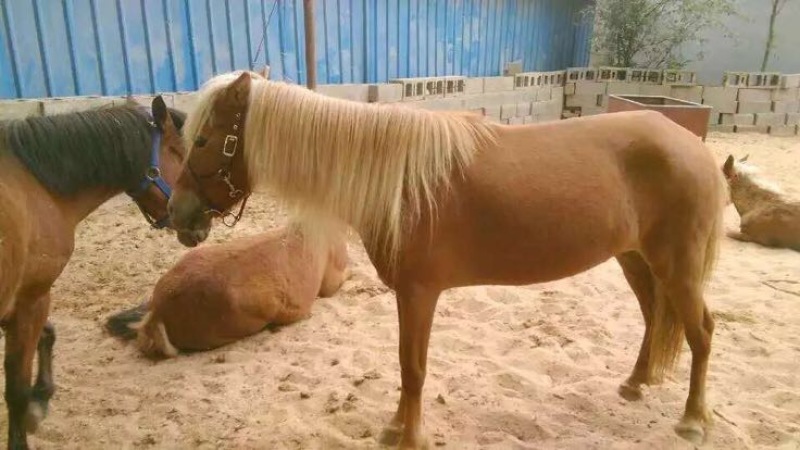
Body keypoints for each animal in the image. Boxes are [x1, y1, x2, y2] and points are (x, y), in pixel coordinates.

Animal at [0, 95, 186, 449]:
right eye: (181, 155)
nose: (201, 221)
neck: (39, 187)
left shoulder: (21, 300)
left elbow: (47, 334)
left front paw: (41, 397)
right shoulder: (31, 296)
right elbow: (15, 390)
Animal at [166, 71, 727, 449]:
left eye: (204, 139)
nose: (176, 215)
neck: (397, 181)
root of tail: (692, 145)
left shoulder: (420, 293)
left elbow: (413, 368)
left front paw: (409, 435)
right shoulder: (409, 295)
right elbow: (404, 364)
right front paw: (396, 427)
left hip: (677, 266)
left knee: (701, 331)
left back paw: (693, 420)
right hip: (636, 259)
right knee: (654, 317)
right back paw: (634, 384)